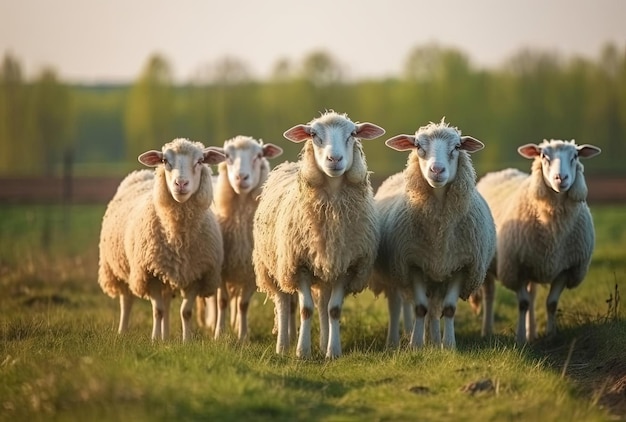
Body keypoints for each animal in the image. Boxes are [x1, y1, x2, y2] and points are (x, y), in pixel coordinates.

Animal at [97, 138, 224, 342]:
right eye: (165, 160)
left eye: (200, 161)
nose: (181, 183)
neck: (178, 236)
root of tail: (142, 173)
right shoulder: (149, 273)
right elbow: (157, 310)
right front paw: (155, 340)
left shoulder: (196, 275)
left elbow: (185, 312)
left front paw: (186, 341)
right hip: (117, 269)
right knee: (127, 301)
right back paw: (123, 331)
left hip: (167, 271)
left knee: (166, 301)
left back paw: (166, 336)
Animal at [195, 135, 282, 340]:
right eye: (227, 156)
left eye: (259, 155)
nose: (241, 177)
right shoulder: (221, 268)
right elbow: (222, 301)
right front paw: (218, 333)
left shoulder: (250, 270)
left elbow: (243, 304)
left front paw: (242, 335)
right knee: (212, 300)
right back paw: (210, 322)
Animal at [251, 110, 382, 358]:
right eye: (313, 134)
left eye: (353, 134)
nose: (334, 159)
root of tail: (288, 165)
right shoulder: (299, 264)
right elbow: (305, 309)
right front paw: (302, 352)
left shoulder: (346, 265)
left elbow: (334, 310)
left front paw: (333, 352)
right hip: (275, 267)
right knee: (283, 302)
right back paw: (282, 346)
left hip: (323, 271)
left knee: (323, 305)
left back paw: (322, 344)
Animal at [368, 118, 494, 350]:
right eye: (418, 146)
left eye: (457, 147)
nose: (437, 170)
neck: (439, 232)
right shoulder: (413, 264)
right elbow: (420, 308)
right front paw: (416, 344)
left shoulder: (462, 266)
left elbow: (449, 309)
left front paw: (449, 345)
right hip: (401, 274)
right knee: (400, 305)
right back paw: (399, 341)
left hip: (438, 277)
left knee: (435, 309)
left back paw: (434, 340)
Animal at [476, 140, 604, 344]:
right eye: (544, 156)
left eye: (575, 156)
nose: (561, 178)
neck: (554, 229)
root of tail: (499, 172)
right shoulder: (516, 268)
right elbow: (523, 303)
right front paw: (520, 338)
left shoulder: (566, 269)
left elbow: (551, 303)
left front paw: (550, 335)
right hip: (487, 264)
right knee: (490, 295)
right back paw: (487, 331)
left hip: (533, 264)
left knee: (533, 295)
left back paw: (533, 332)